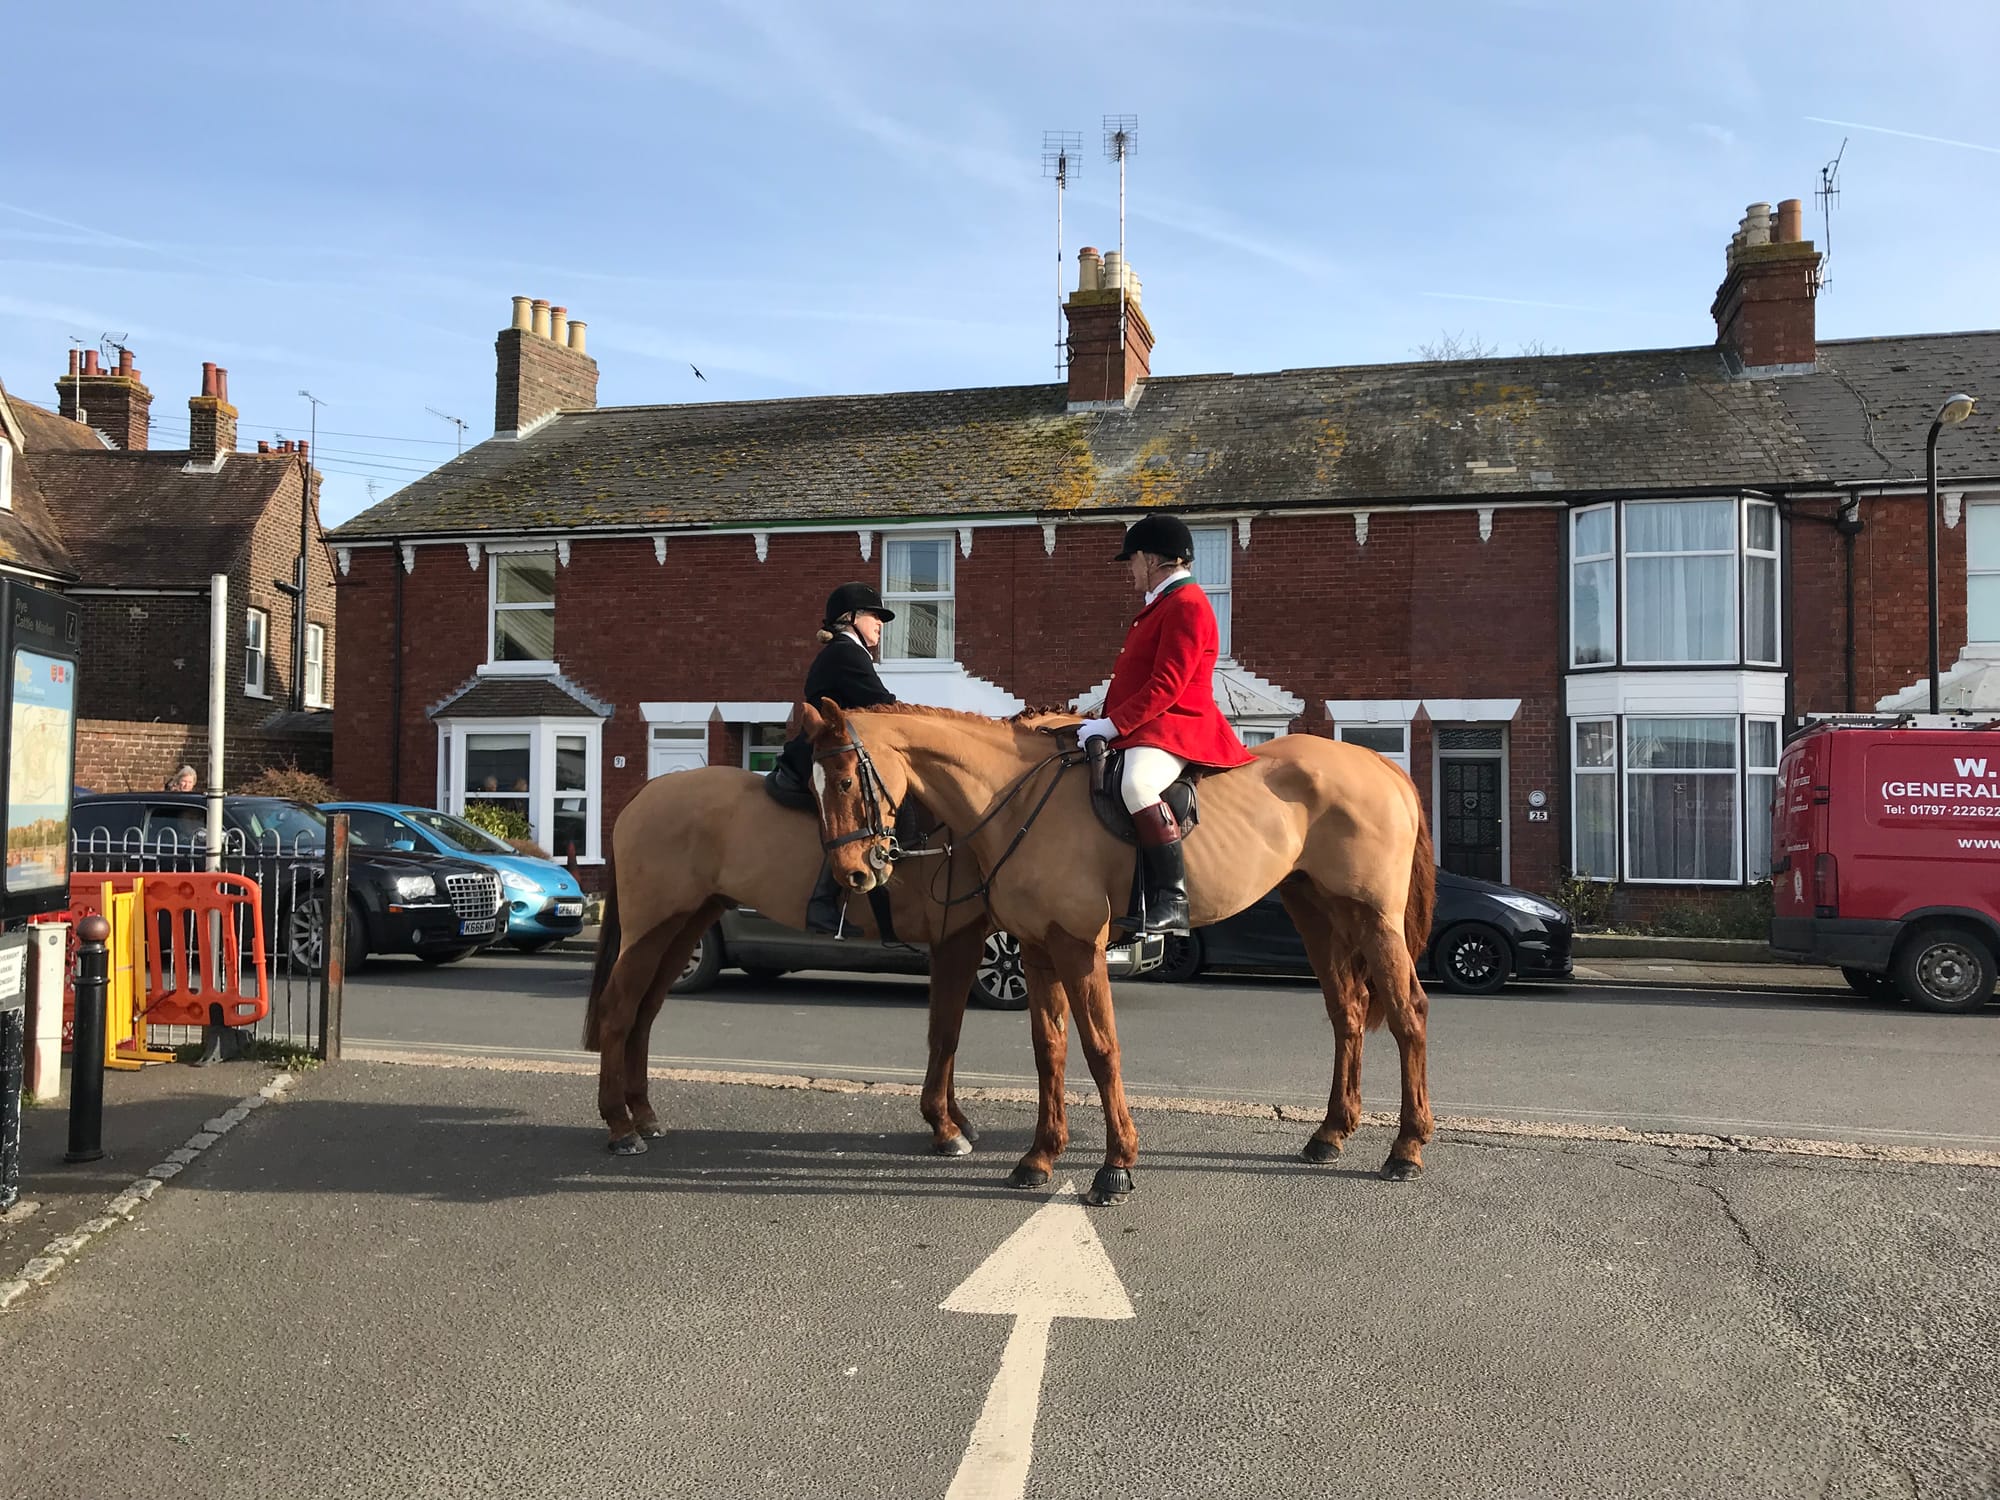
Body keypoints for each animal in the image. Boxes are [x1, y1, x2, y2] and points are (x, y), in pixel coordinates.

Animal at [580, 764, 994, 1156]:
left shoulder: (962, 941)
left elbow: (947, 1031)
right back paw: (621, 1126)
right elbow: (946, 1034)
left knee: (644, 1012)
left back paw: (643, 1114)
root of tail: (650, 789)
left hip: (683, 926)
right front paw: (945, 1127)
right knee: (617, 1011)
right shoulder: (956, 940)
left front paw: (954, 1118)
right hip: (649, 930)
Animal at [799, 700, 1437, 1205]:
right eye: (810, 786)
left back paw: (1406, 1148)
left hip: (1375, 920)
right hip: (1317, 914)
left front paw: (1116, 1167)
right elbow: (1049, 1050)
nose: (853, 874)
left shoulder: (1079, 945)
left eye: (846, 781)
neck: (1016, 800)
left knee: (1408, 1014)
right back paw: (1330, 1134)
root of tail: (1378, 762)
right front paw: (1040, 1157)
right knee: (1347, 1013)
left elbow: (1101, 1049)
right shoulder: (1038, 948)